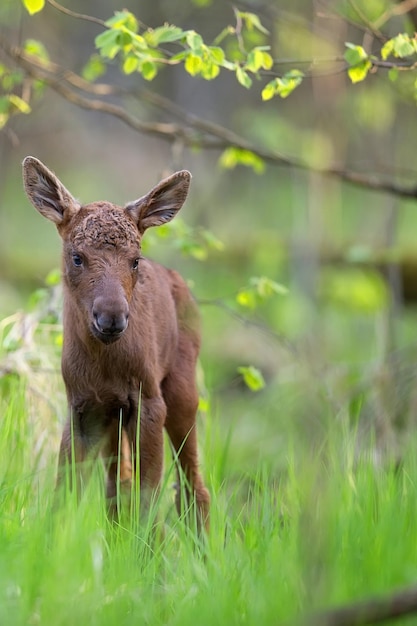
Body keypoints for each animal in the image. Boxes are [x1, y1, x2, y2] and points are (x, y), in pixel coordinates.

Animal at [22, 156, 208, 528]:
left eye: (135, 260)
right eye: (77, 256)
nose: (111, 318)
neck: (104, 365)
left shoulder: (149, 402)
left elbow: (147, 496)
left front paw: (146, 544)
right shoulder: (82, 406)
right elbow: (66, 492)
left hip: (181, 389)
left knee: (192, 484)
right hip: (115, 417)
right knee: (117, 484)